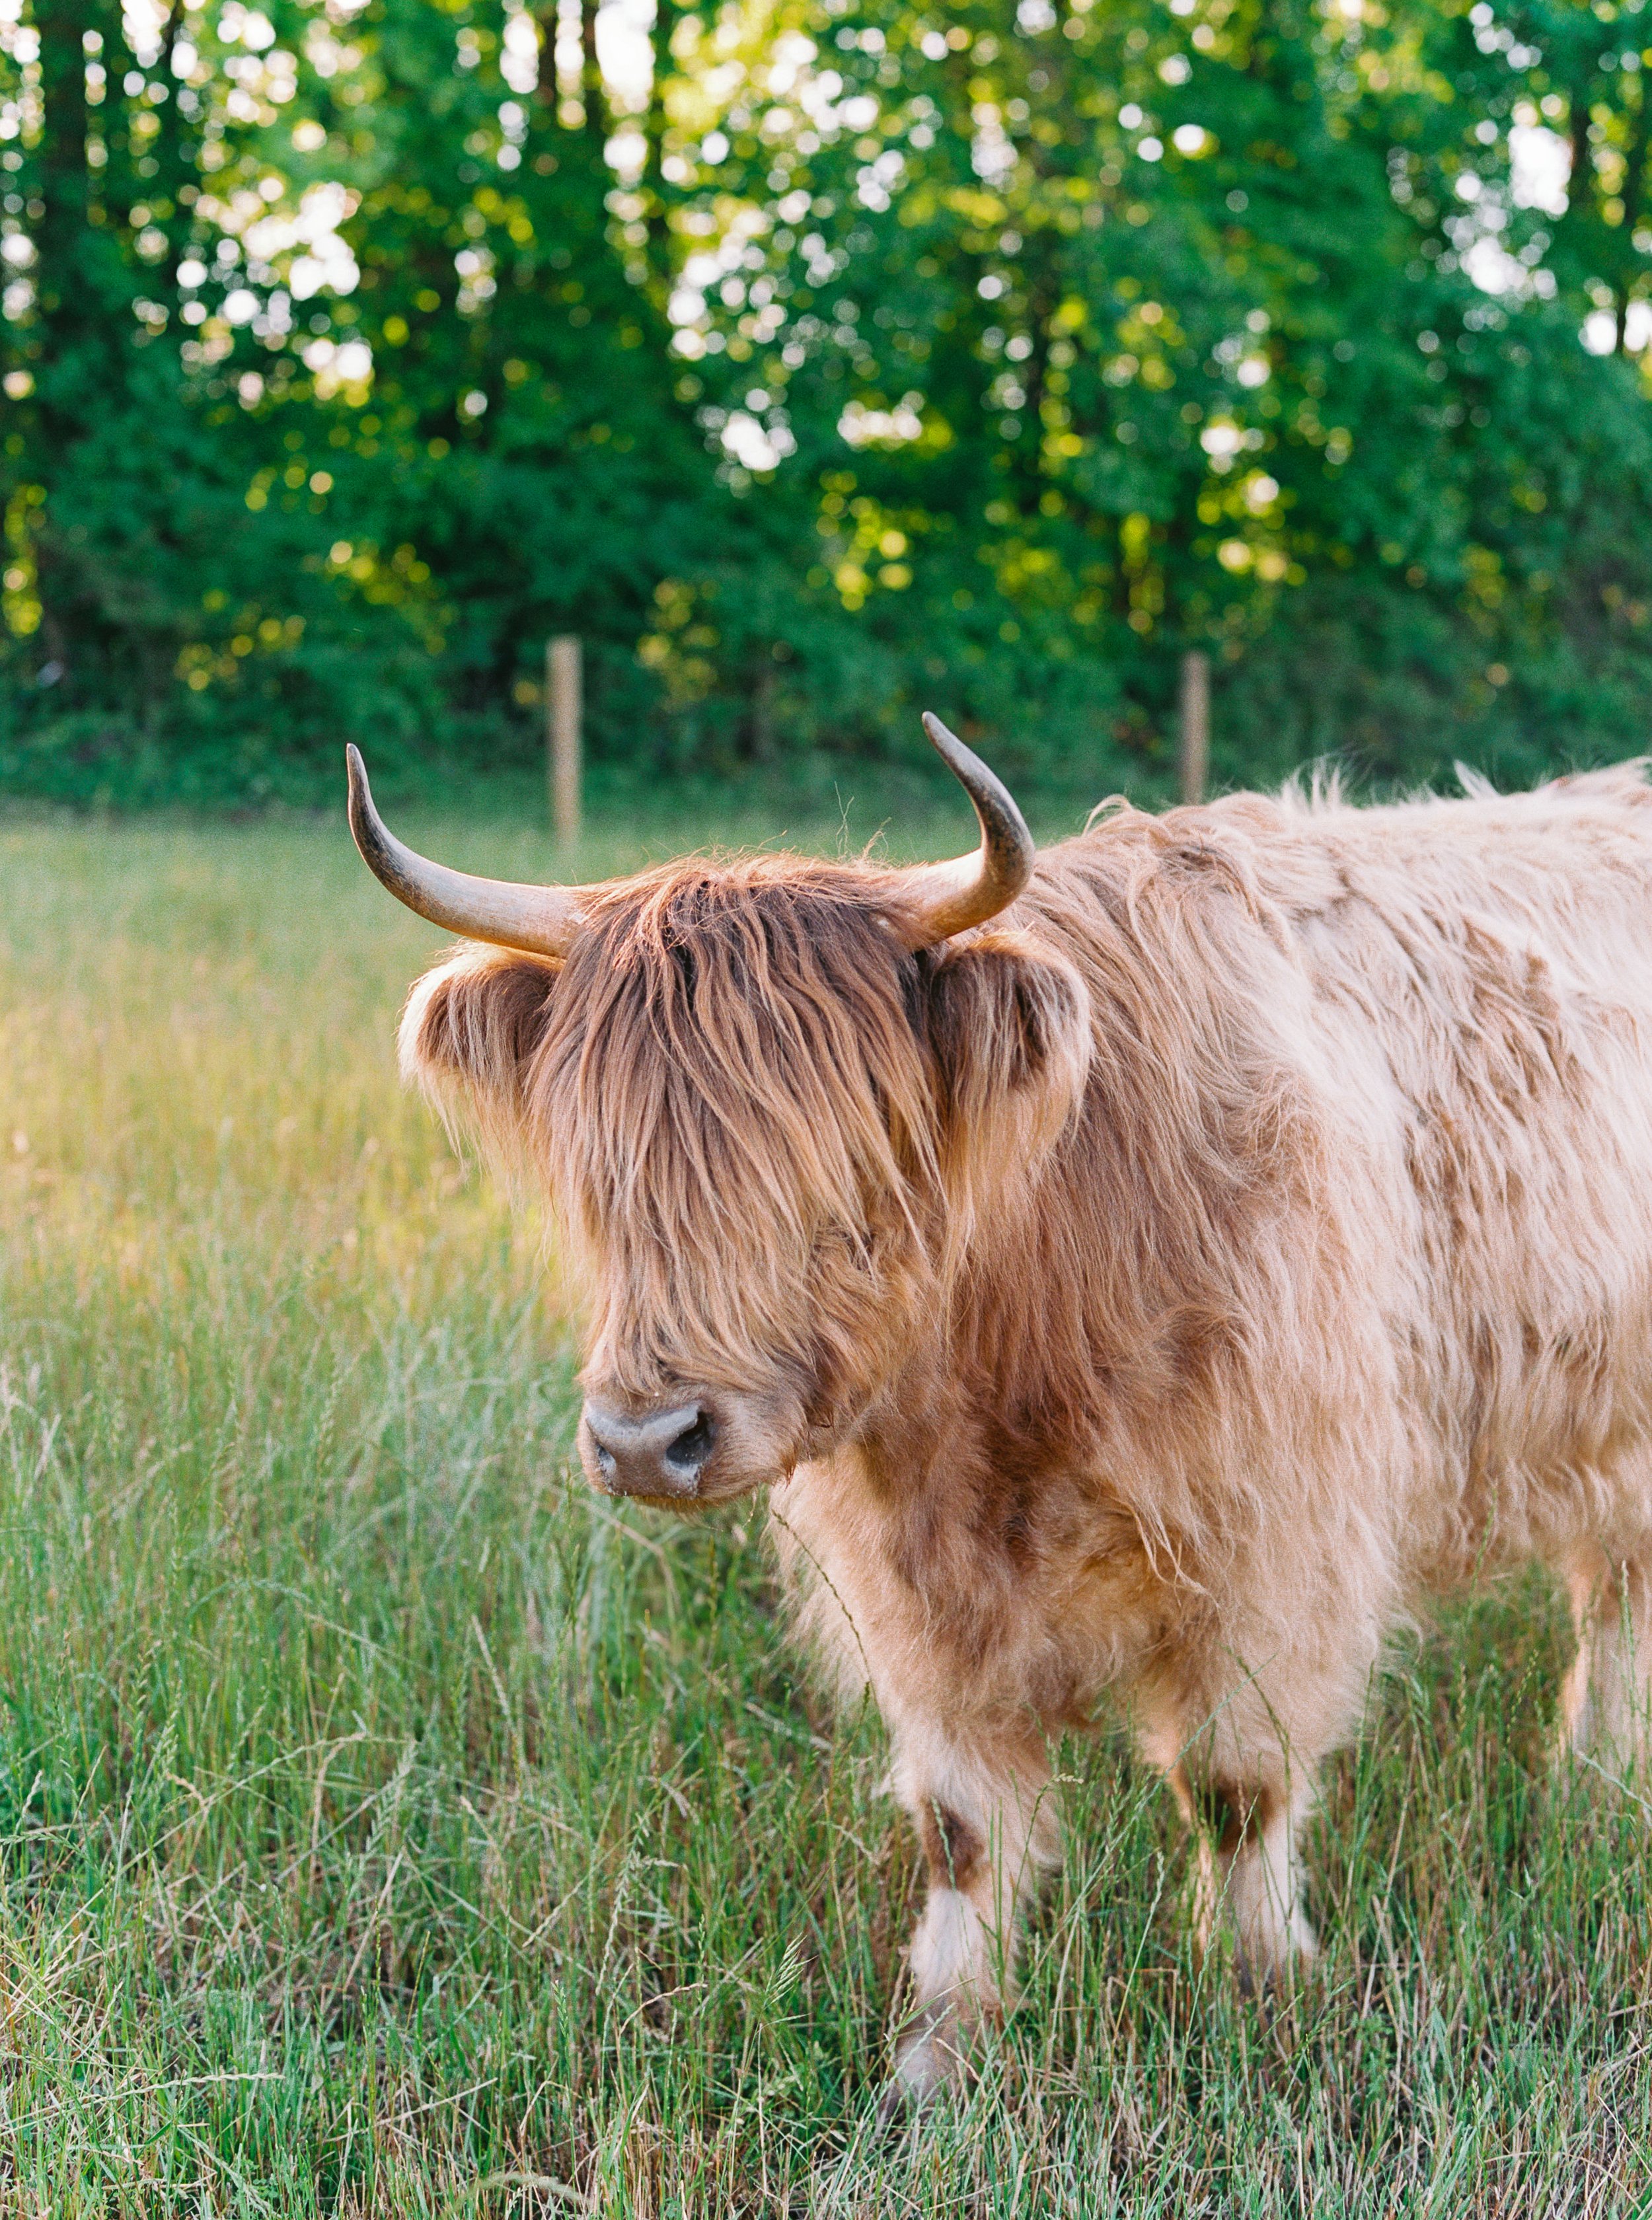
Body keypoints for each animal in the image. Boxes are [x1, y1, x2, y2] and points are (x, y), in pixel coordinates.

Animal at [347, 726, 1652, 2101]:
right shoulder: (914, 1587)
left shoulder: (1278, 1543)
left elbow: (1236, 1784)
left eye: (846, 1164)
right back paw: (1595, 1778)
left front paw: (1260, 1991)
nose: (651, 1445)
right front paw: (945, 2045)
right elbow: (961, 1825)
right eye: (605, 1175)